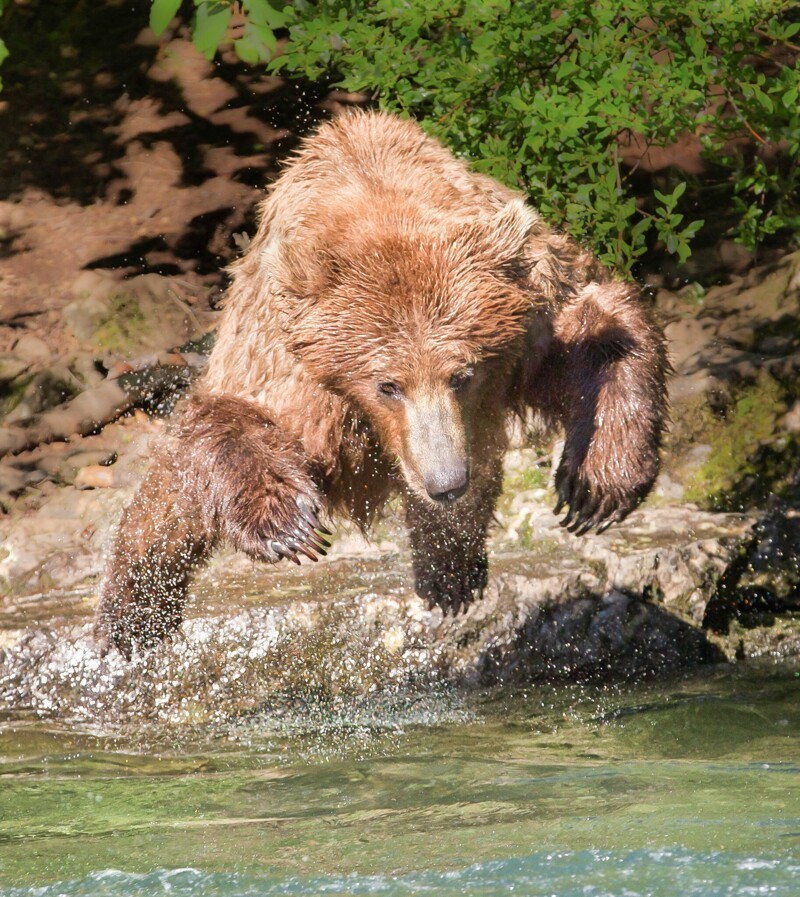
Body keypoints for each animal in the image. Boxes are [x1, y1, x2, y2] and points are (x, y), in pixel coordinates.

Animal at [94, 112, 668, 656]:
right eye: (387, 385)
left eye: (462, 375)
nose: (445, 482)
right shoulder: (290, 366)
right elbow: (231, 419)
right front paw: (289, 526)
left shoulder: (528, 313)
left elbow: (601, 327)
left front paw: (596, 485)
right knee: (167, 501)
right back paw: (130, 617)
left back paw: (450, 570)